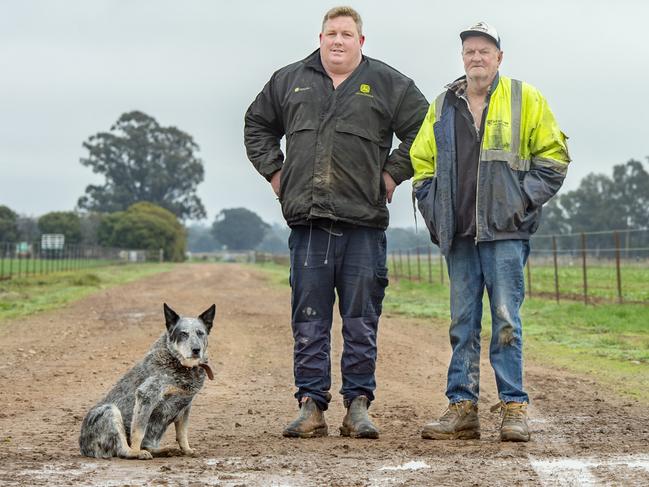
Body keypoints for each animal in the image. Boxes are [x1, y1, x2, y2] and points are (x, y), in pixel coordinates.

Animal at [78, 304, 215, 460]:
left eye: (200, 333)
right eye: (183, 334)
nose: (196, 349)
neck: (179, 363)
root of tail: (83, 448)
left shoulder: (185, 405)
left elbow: (182, 433)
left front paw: (187, 450)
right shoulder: (146, 396)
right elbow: (138, 431)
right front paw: (137, 451)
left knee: (148, 446)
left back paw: (165, 450)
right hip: (109, 410)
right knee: (122, 449)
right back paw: (136, 453)